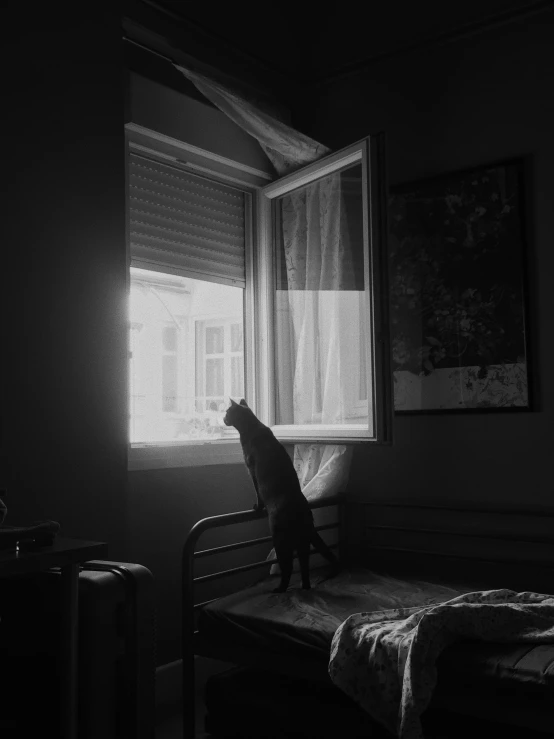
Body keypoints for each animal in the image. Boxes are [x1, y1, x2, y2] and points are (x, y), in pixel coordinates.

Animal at [221, 398, 336, 596]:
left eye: (228, 412)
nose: (223, 418)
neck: (249, 429)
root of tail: (303, 514)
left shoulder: (252, 471)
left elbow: (258, 493)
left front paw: (257, 507)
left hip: (281, 542)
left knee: (287, 568)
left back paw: (280, 589)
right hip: (303, 545)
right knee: (304, 571)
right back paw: (304, 588)